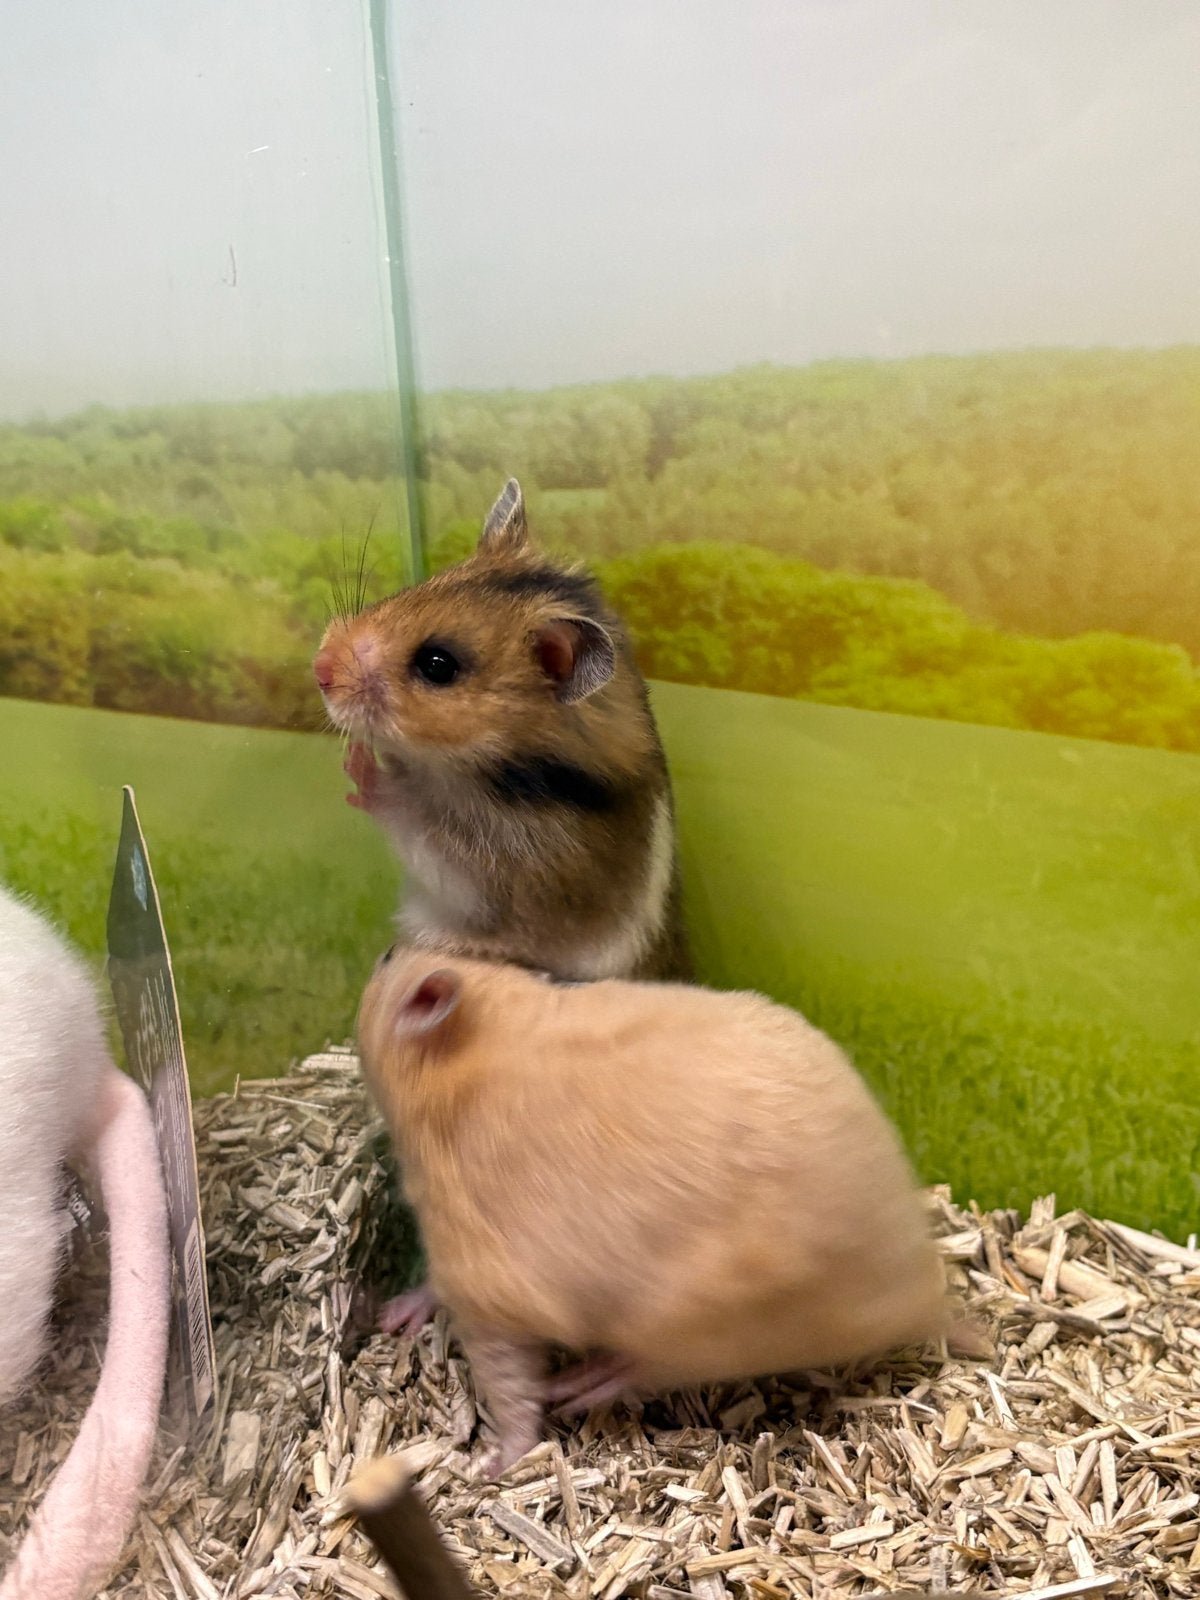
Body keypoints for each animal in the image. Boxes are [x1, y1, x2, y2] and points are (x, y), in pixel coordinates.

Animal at [313, 478, 691, 985]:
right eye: (418, 586)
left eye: (438, 665)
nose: (318, 669)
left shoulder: (499, 871)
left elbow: (414, 821)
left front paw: (358, 763)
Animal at [356, 946, 953, 1475]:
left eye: (385, 959)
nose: (386, 949)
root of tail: (923, 1287)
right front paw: (391, 1317)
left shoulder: (482, 1287)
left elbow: (511, 1390)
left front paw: (491, 1465)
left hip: (706, 1326)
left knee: (645, 1370)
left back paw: (578, 1386)